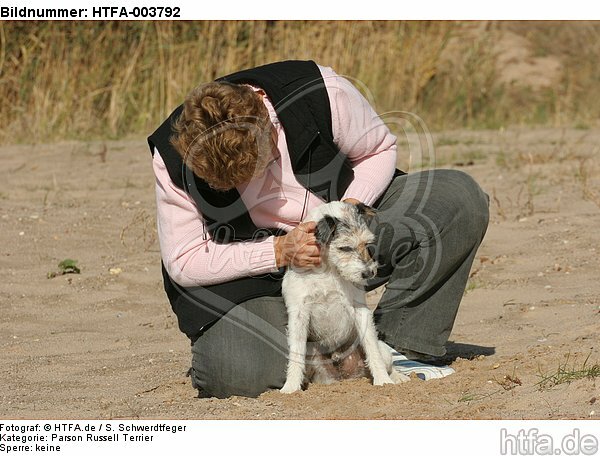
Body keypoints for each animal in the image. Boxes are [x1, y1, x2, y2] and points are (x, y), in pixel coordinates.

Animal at [280, 201, 410, 394]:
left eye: (367, 243)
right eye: (345, 248)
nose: (369, 273)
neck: (329, 271)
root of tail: (345, 376)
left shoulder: (361, 311)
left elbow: (372, 350)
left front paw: (383, 381)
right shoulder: (298, 314)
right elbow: (296, 354)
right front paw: (290, 387)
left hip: (384, 350)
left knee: (387, 362)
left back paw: (398, 377)